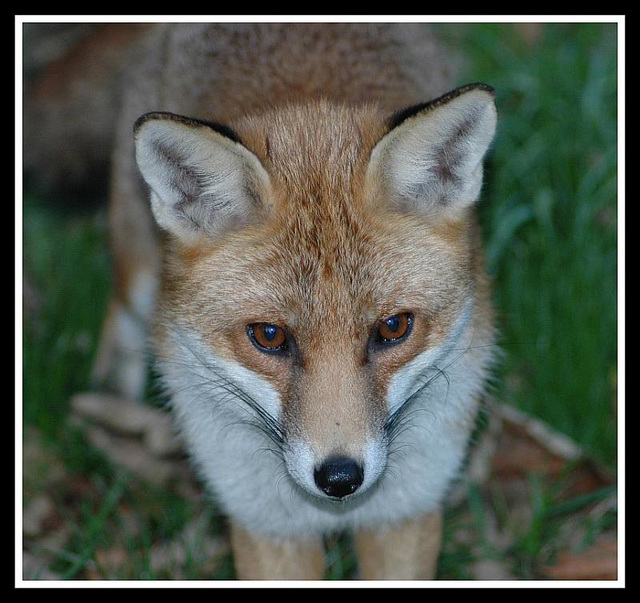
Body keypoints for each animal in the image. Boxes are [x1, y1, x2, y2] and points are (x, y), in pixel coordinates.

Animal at [26, 22, 500, 580]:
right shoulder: (266, 524)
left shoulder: (406, 512)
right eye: (269, 336)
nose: (340, 478)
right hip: (137, 267)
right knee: (121, 316)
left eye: (393, 328)